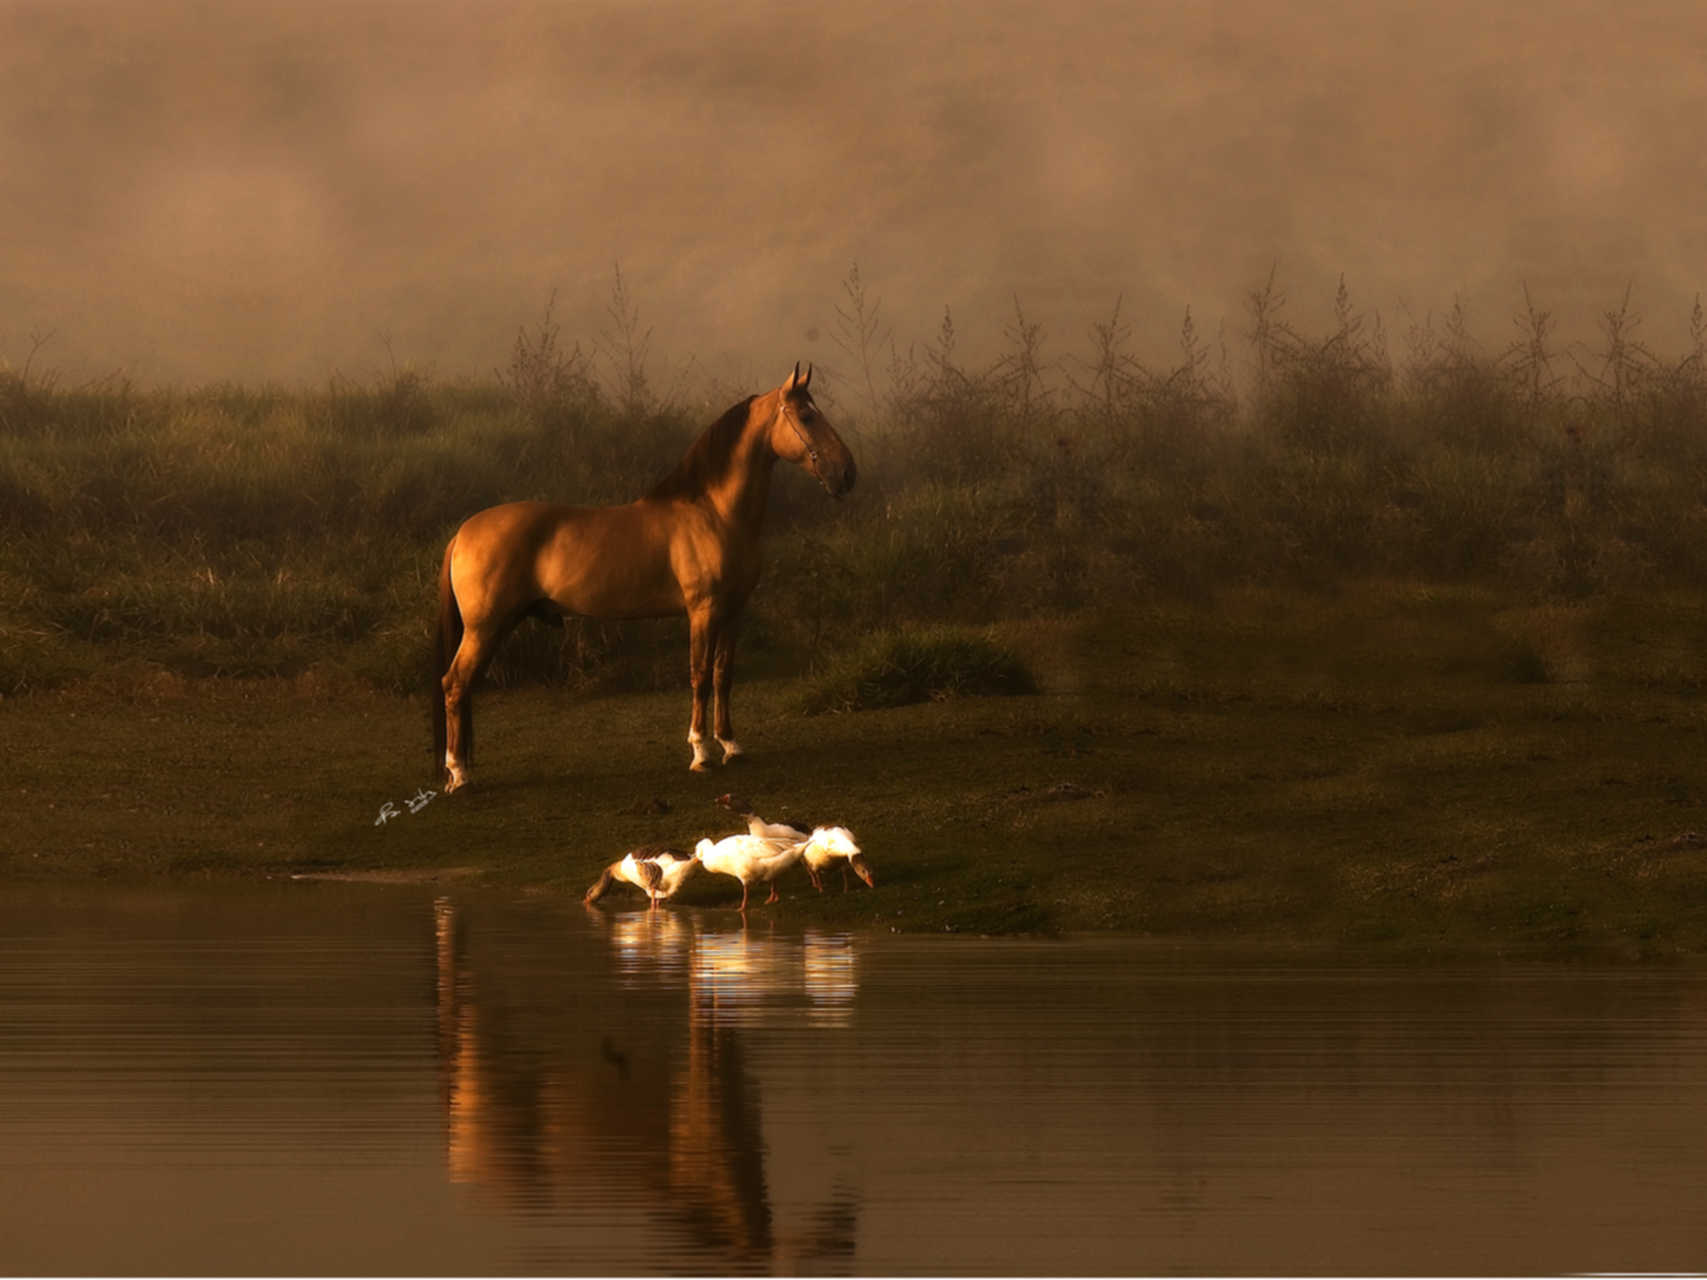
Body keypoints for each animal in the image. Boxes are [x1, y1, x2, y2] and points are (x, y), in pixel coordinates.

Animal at [432, 363, 855, 791]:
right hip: (484, 628)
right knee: (454, 685)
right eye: (806, 416)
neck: (714, 513)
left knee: (463, 688)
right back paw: (458, 773)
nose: (846, 473)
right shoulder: (702, 612)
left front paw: (731, 745)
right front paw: (701, 753)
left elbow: (723, 675)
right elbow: (700, 676)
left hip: (495, 627)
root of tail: (463, 532)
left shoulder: (733, 612)